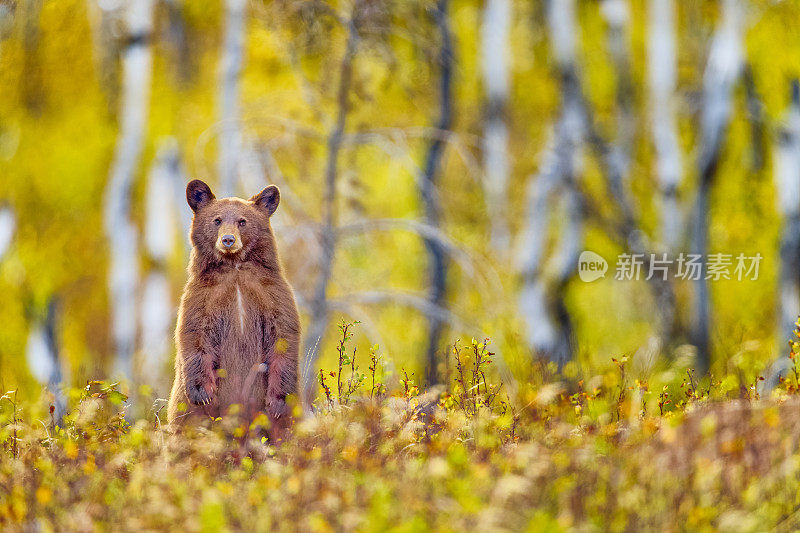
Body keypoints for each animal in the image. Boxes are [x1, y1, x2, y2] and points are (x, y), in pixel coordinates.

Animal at [167, 179, 302, 436]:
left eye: (242, 221)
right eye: (217, 220)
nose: (228, 240)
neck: (234, 268)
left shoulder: (272, 293)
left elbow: (283, 335)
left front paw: (278, 403)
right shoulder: (202, 297)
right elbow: (194, 334)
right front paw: (202, 392)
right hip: (183, 405)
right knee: (187, 424)